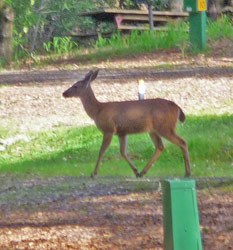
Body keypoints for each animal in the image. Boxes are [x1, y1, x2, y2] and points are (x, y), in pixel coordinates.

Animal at [62, 69, 190, 178]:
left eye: (75, 86)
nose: (64, 93)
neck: (97, 111)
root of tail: (177, 108)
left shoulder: (109, 129)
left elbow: (101, 151)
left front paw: (94, 173)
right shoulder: (122, 132)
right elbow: (123, 152)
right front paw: (135, 170)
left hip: (165, 126)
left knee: (182, 142)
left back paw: (187, 172)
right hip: (154, 130)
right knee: (160, 146)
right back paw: (143, 172)